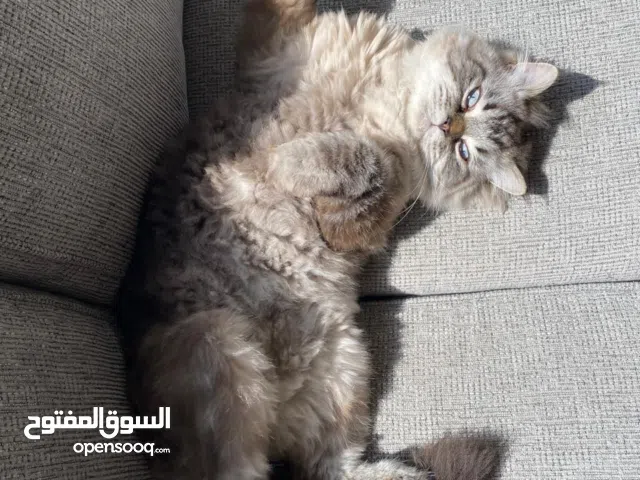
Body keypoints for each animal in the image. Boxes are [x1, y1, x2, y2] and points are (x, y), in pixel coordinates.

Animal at [116, 1, 558, 479]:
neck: (381, 100)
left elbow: (361, 157)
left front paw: (285, 161)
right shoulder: (277, 41)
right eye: (471, 99)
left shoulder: (365, 220)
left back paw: (410, 472)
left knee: (319, 469)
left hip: (288, 359)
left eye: (465, 152)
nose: (447, 127)